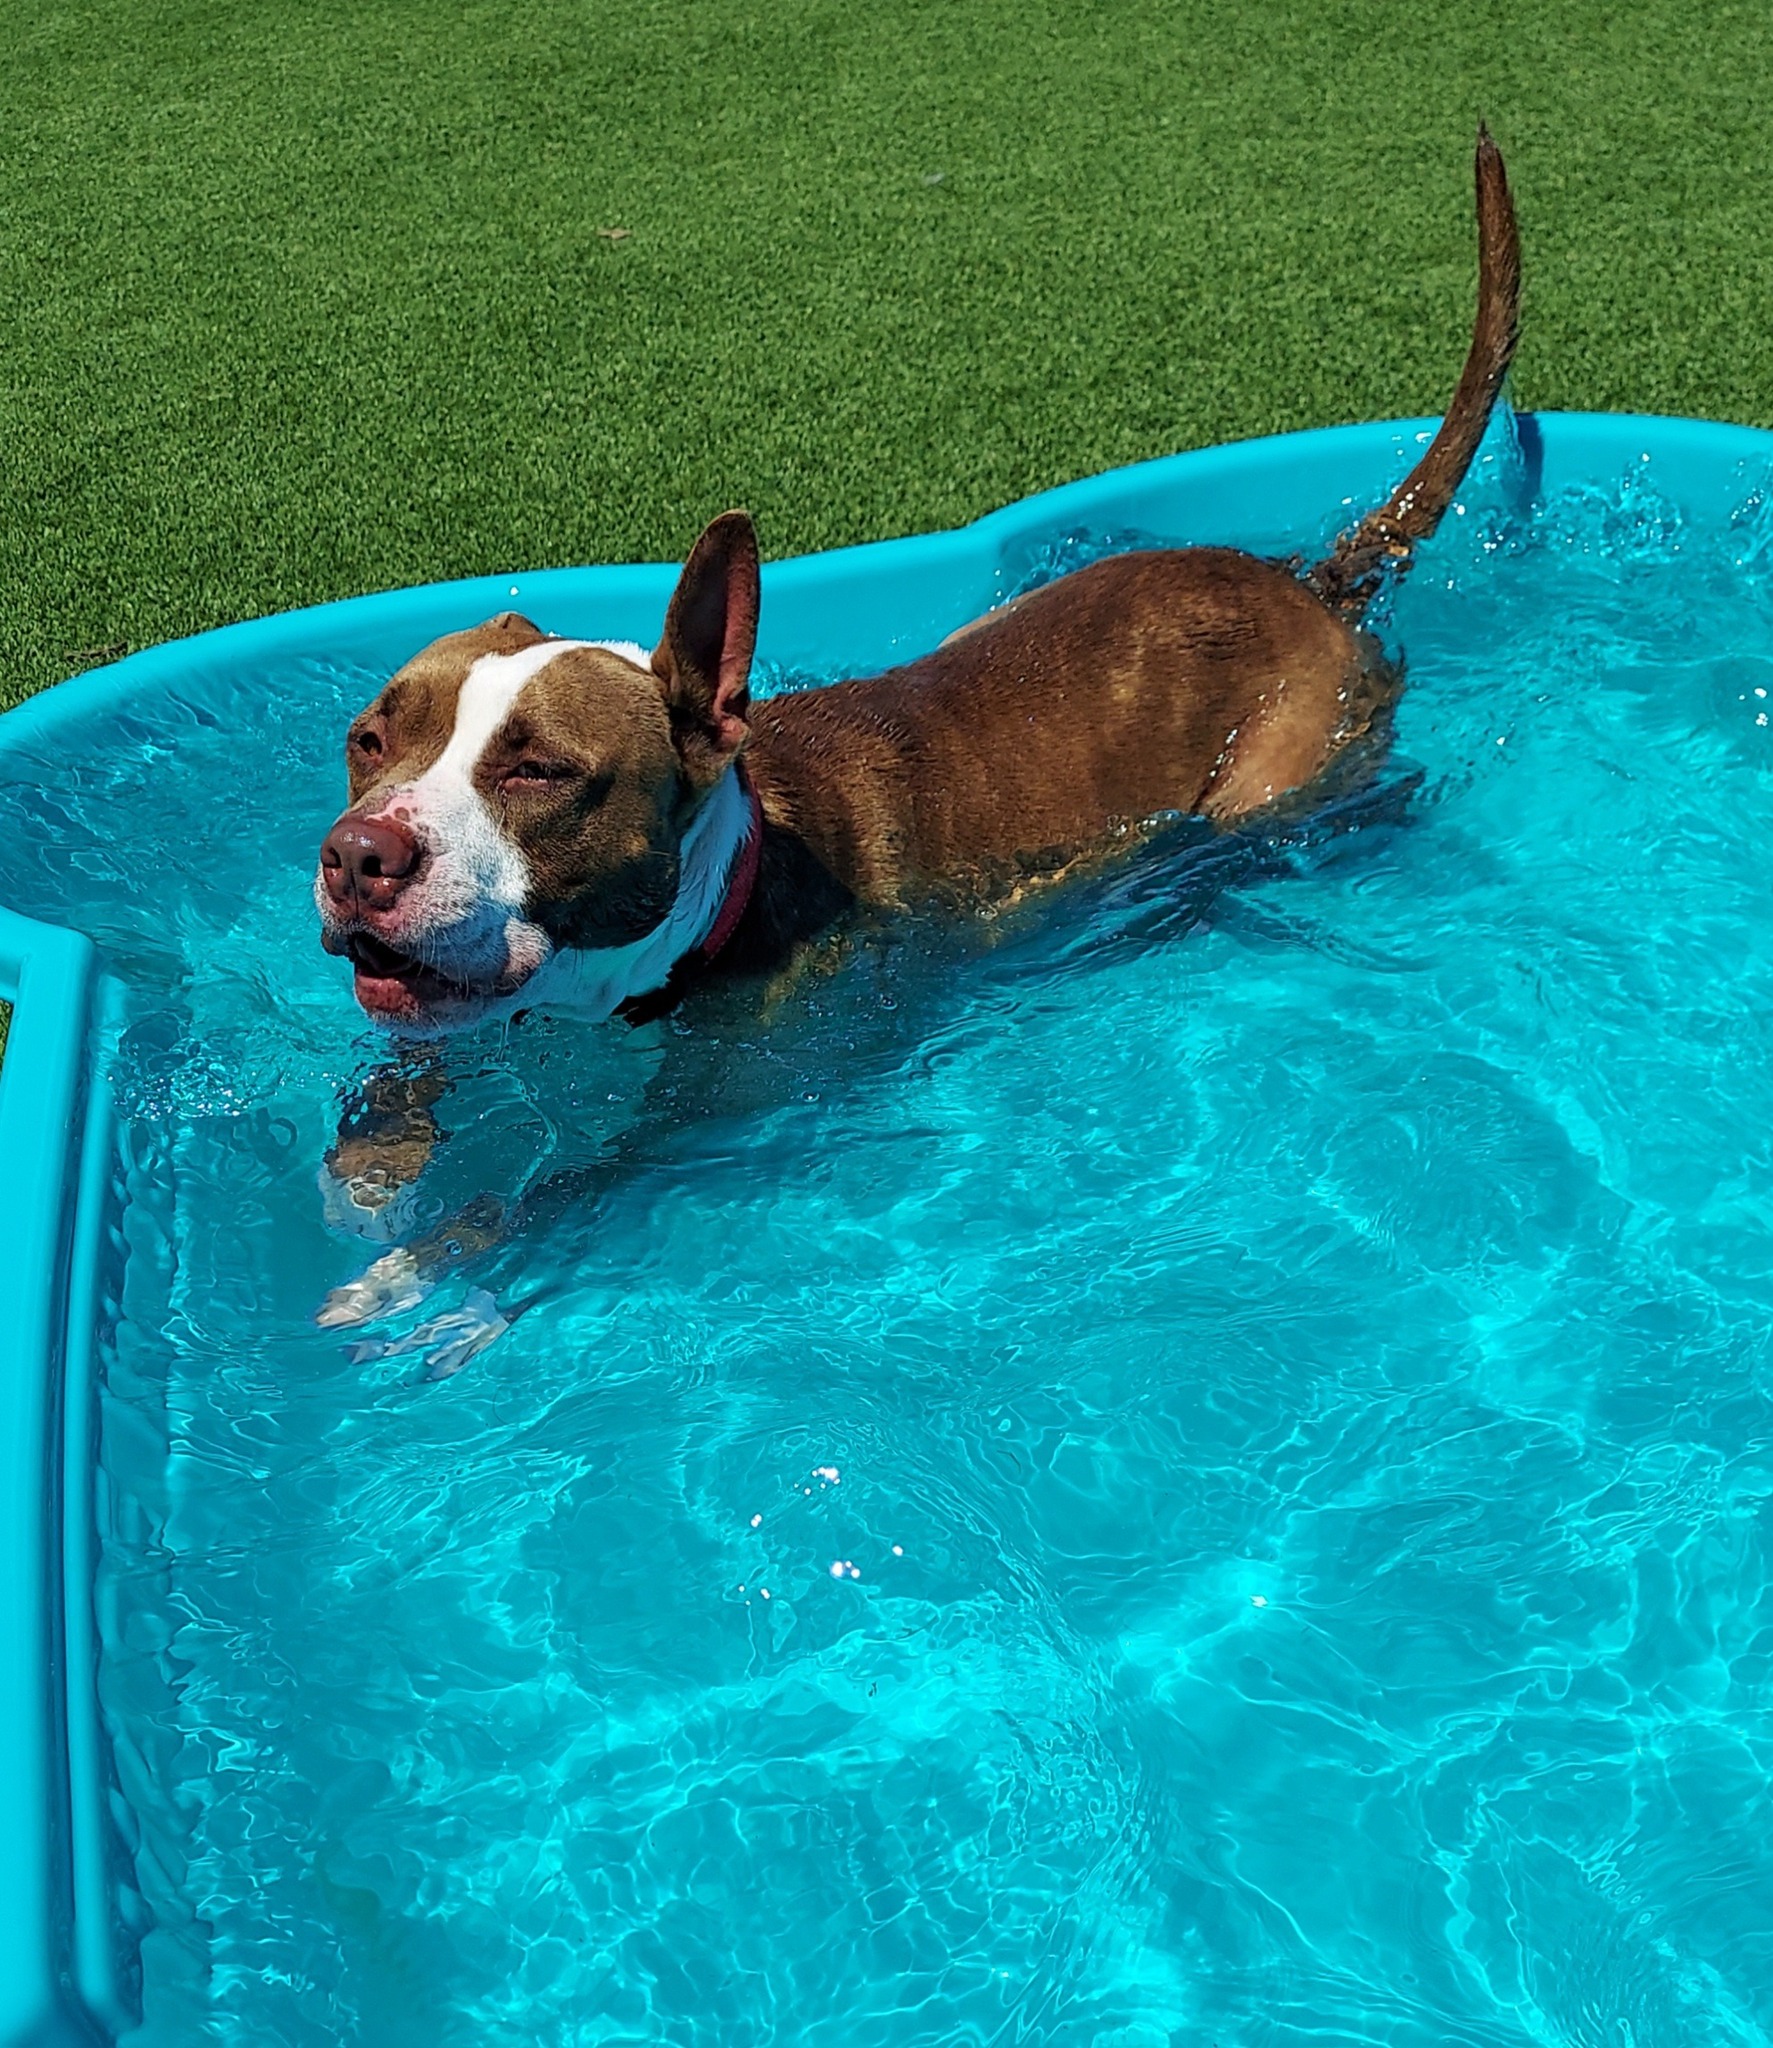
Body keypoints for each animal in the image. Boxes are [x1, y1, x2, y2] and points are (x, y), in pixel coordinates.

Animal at [315, 128, 1523, 1343]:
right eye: (369, 740)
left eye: (539, 769)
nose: (357, 856)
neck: (733, 880)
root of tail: (1312, 587)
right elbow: (393, 1072)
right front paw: (372, 1170)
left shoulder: (707, 1118)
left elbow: (558, 1190)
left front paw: (427, 1273)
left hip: (1279, 774)